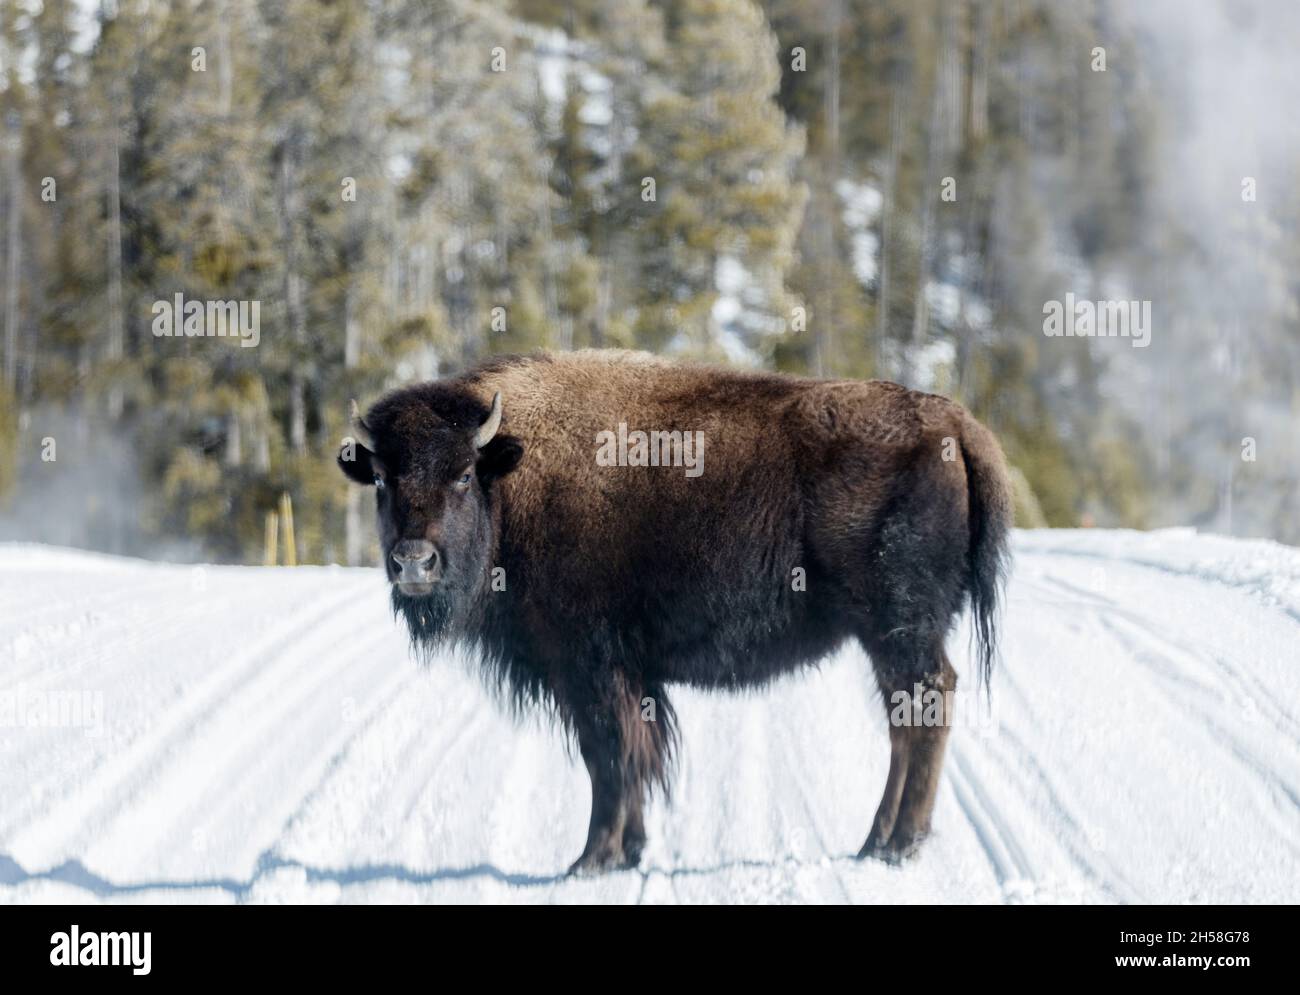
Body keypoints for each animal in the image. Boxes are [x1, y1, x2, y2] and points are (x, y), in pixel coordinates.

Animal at [340, 348, 1008, 868]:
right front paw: (628, 850)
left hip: (897, 628)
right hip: (890, 635)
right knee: (906, 718)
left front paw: (592, 859)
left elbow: (610, 757)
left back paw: (897, 845)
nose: (414, 563)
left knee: (924, 706)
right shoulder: (627, 677)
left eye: (460, 475)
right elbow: (630, 756)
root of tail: (954, 423)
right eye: (383, 479)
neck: (511, 474)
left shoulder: (590, 667)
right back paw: (876, 842)